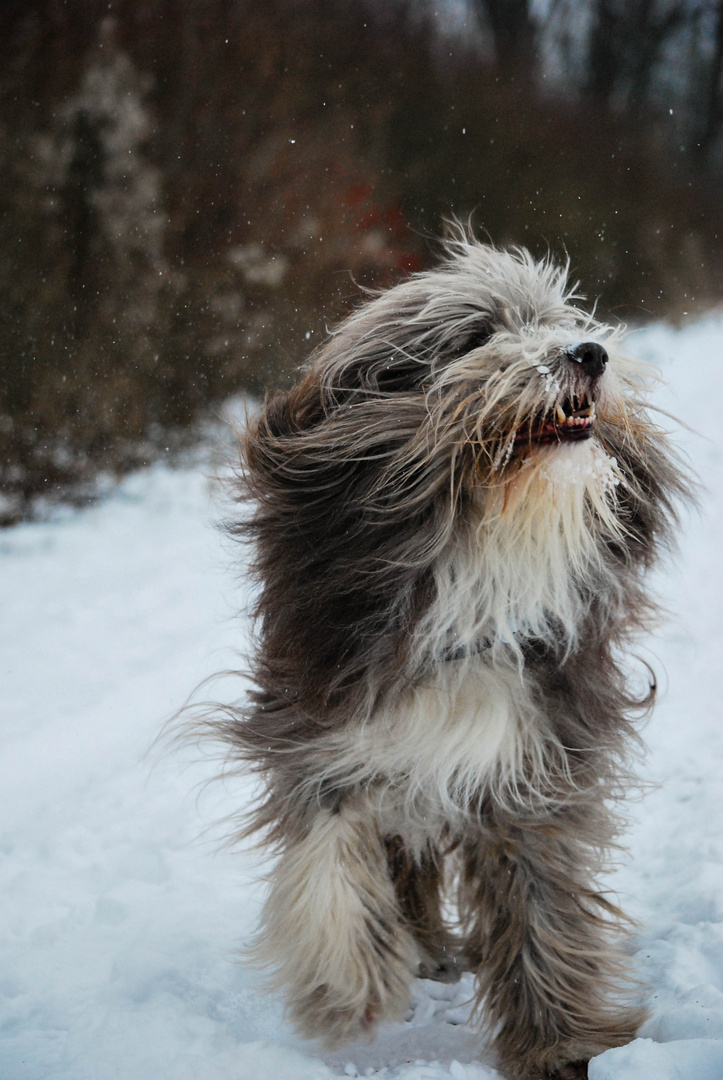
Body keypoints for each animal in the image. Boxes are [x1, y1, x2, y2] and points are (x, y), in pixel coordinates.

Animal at [211, 238, 687, 1080]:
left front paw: (555, 1045)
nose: (589, 353)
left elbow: (540, 901)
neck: (476, 567)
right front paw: (346, 993)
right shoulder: (319, 730)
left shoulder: (536, 753)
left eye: (558, 319)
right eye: (476, 337)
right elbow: (329, 853)